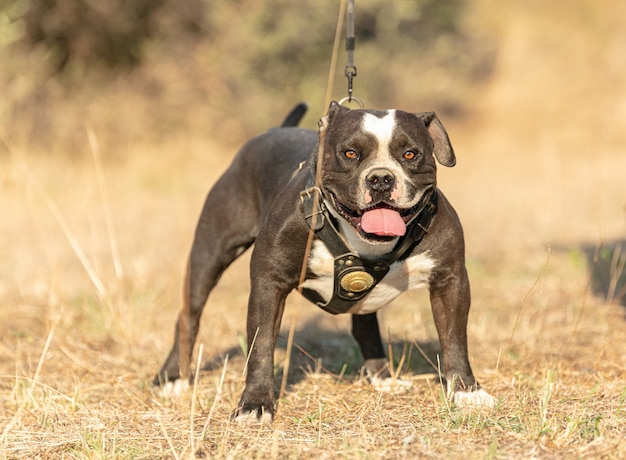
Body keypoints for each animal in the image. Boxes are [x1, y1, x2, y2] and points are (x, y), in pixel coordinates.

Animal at [154, 102, 494, 422]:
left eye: (410, 154)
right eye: (350, 153)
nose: (381, 178)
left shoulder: (450, 281)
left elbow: (454, 340)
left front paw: (467, 392)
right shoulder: (269, 282)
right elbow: (261, 345)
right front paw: (255, 405)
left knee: (365, 326)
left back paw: (383, 377)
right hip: (209, 254)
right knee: (189, 314)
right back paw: (172, 377)